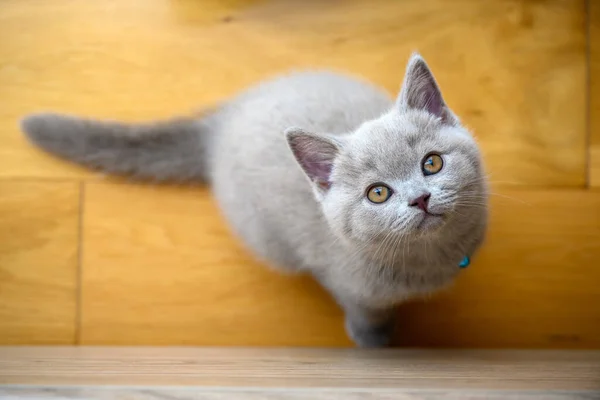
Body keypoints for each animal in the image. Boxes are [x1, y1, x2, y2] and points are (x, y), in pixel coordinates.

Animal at [19, 52, 488, 346]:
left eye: (431, 164)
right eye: (378, 193)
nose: (420, 199)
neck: (430, 259)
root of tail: (218, 124)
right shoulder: (347, 283)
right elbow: (365, 310)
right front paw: (374, 340)